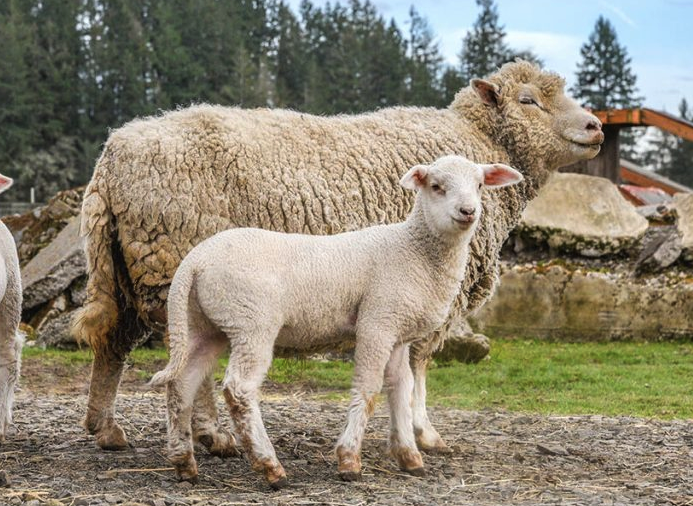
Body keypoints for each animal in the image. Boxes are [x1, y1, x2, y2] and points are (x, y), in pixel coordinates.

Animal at [71, 59, 600, 450]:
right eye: (528, 100)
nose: (596, 126)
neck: (479, 140)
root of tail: (110, 160)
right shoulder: (431, 284)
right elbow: (420, 364)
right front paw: (425, 432)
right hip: (172, 260)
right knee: (185, 361)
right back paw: (210, 435)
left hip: (128, 265)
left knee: (113, 342)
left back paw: (106, 429)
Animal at [149, 156, 520, 488]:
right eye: (436, 186)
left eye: (480, 185)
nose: (468, 211)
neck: (414, 250)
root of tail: (194, 262)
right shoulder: (377, 322)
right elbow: (369, 389)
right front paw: (349, 460)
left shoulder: (398, 331)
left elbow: (400, 387)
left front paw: (409, 457)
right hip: (252, 323)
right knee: (239, 390)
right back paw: (270, 468)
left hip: (204, 326)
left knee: (181, 383)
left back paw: (184, 464)